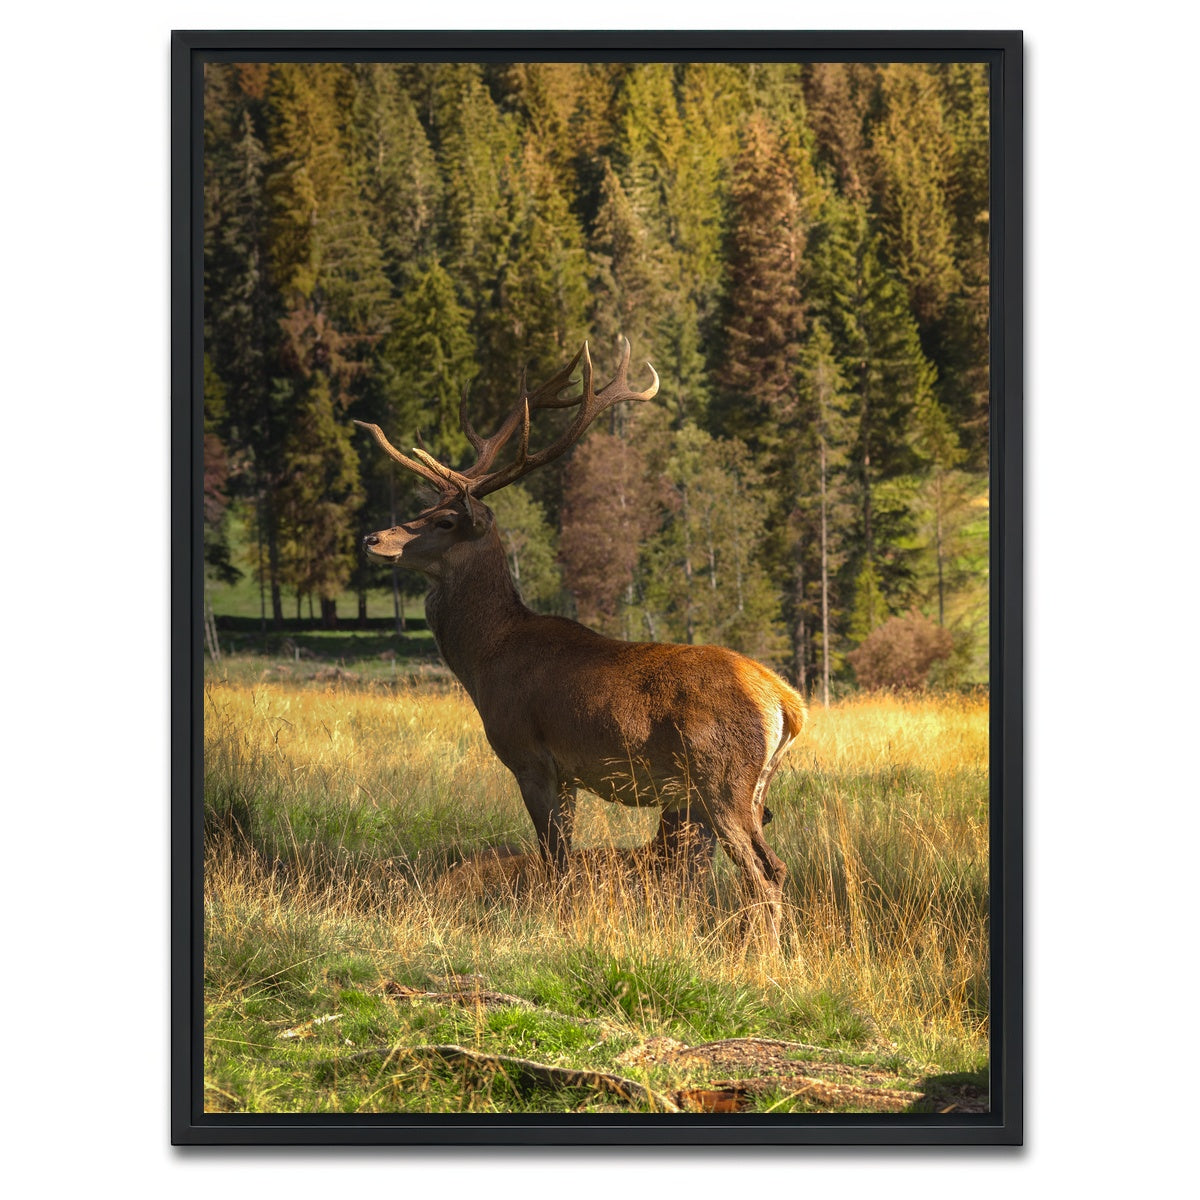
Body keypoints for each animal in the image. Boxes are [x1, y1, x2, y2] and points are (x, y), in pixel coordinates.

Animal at [354, 338, 806, 945]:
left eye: (445, 520)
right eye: (424, 508)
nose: (372, 538)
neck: (485, 659)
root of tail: (785, 701)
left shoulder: (531, 755)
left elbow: (556, 860)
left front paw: (552, 926)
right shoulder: (568, 774)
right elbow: (561, 859)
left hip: (720, 778)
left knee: (764, 871)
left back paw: (763, 957)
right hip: (752, 788)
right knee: (772, 866)